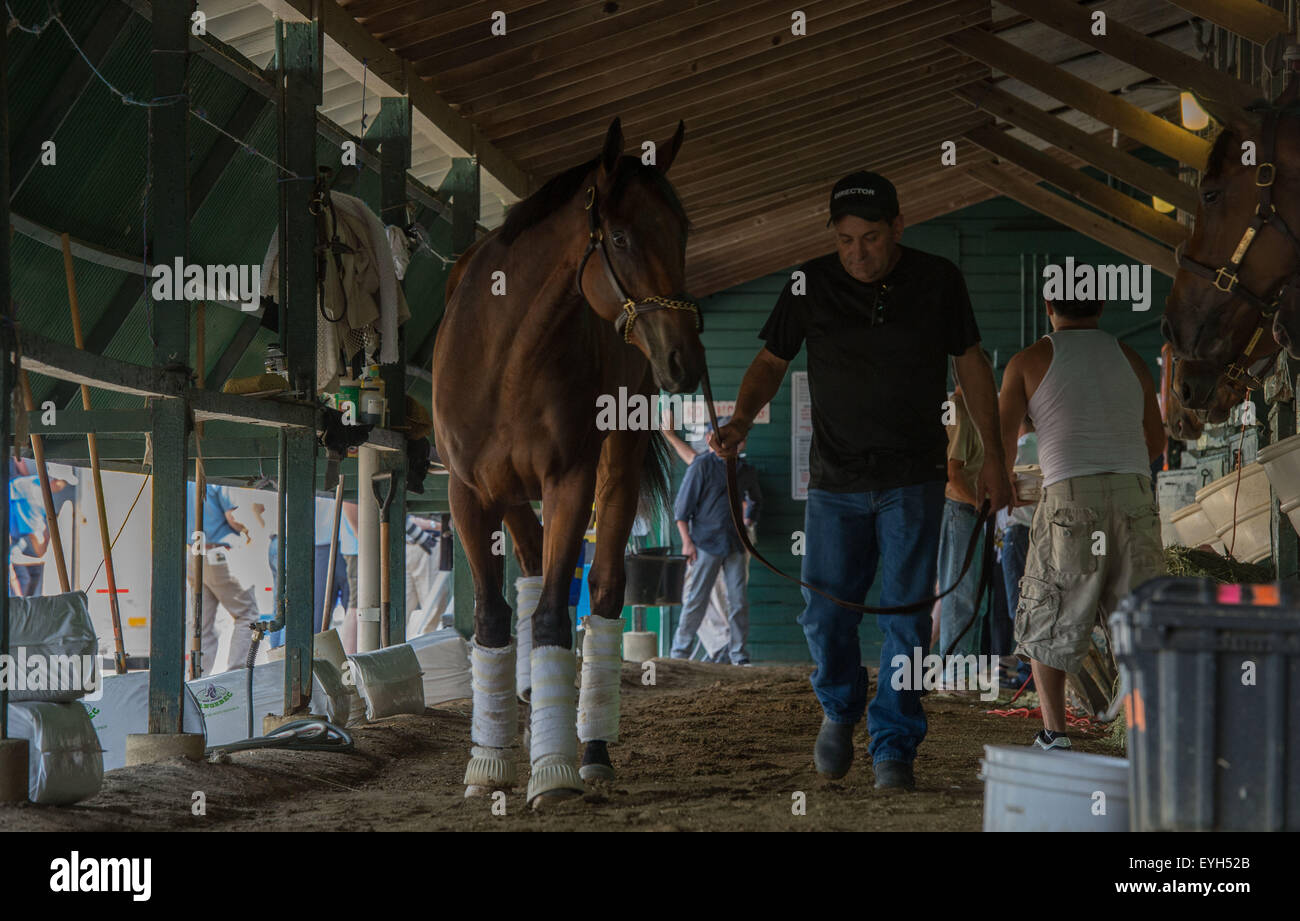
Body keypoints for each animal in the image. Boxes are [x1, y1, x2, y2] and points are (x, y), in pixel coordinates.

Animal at [431, 117, 707, 806]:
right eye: (622, 237)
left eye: (682, 232)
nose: (686, 362)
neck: (504, 353)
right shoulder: (468, 493)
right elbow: (495, 617)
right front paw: (489, 761)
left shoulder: (570, 481)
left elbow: (558, 612)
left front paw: (552, 772)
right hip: (506, 492)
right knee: (529, 566)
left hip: (614, 470)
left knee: (603, 590)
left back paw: (590, 749)